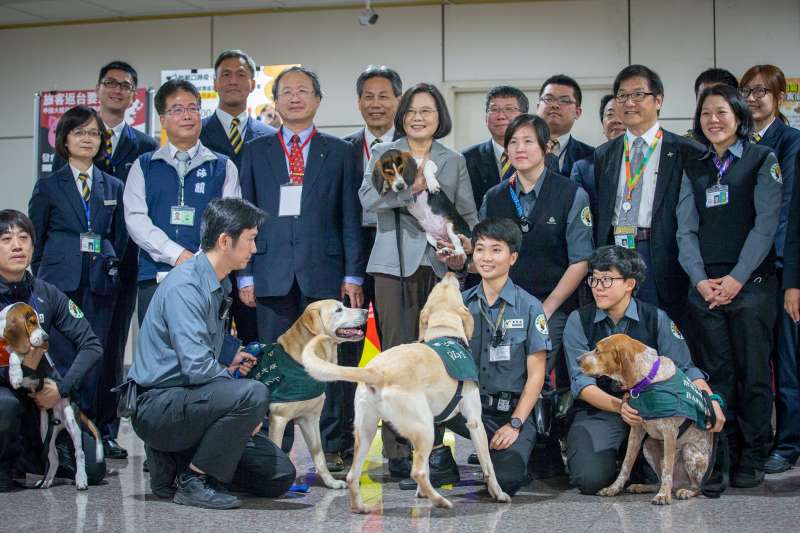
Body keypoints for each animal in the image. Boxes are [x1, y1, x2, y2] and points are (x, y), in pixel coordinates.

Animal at [0, 302, 102, 488]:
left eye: (39, 322)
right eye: (32, 322)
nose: (46, 337)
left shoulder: (29, 358)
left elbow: (15, 355)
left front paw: (15, 375)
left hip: (72, 423)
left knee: (80, 453)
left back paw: (81, 479)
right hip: (45, 430)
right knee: (53, 458)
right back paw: (46, 481)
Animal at [248, 300, 368, 486]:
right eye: (338, 310)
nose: (366, 311)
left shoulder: (310, 419)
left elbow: (319, 456)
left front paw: (331, 482)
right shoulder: (279, 419)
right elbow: (278, 449)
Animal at [300, 274, 506, 512]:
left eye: (439, 287)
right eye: (450, 287)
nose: (450, 274)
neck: (445, 331)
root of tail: (375, 371)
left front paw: (421, 493)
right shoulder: (474, 422)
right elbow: (488, 465)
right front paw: (498, 493)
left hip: (367, 431)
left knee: (353, 475)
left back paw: (361, 506)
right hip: (423, 427)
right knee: (417, 471)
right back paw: (440, 501)